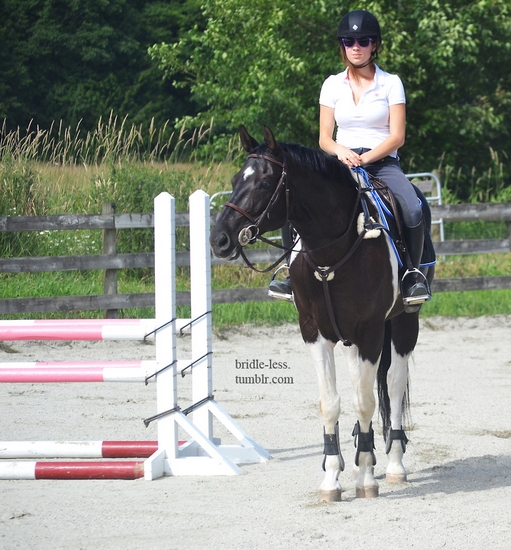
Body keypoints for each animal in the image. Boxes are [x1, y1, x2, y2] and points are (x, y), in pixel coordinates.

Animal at [210, 127, 434, 502]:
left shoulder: (371, 330)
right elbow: (331, 403)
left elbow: (365, 401)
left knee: (393, 385)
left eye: (263, 183)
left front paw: (366, 479)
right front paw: (332, 478)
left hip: (403, 322)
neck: (334, 249)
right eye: (235, 180)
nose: (219, 239)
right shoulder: (314, 331)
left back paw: (393, 465)